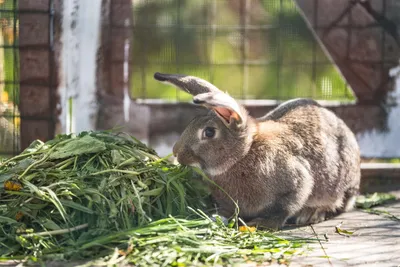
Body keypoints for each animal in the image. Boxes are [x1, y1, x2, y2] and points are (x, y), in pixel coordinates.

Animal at [155, 73, 360, 230]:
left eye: (209, 132)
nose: (177, 153)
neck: (243, 155)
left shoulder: (296, 182)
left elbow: (285, 207)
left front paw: (262, 224)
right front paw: (216, 217)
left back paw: (311, 214)